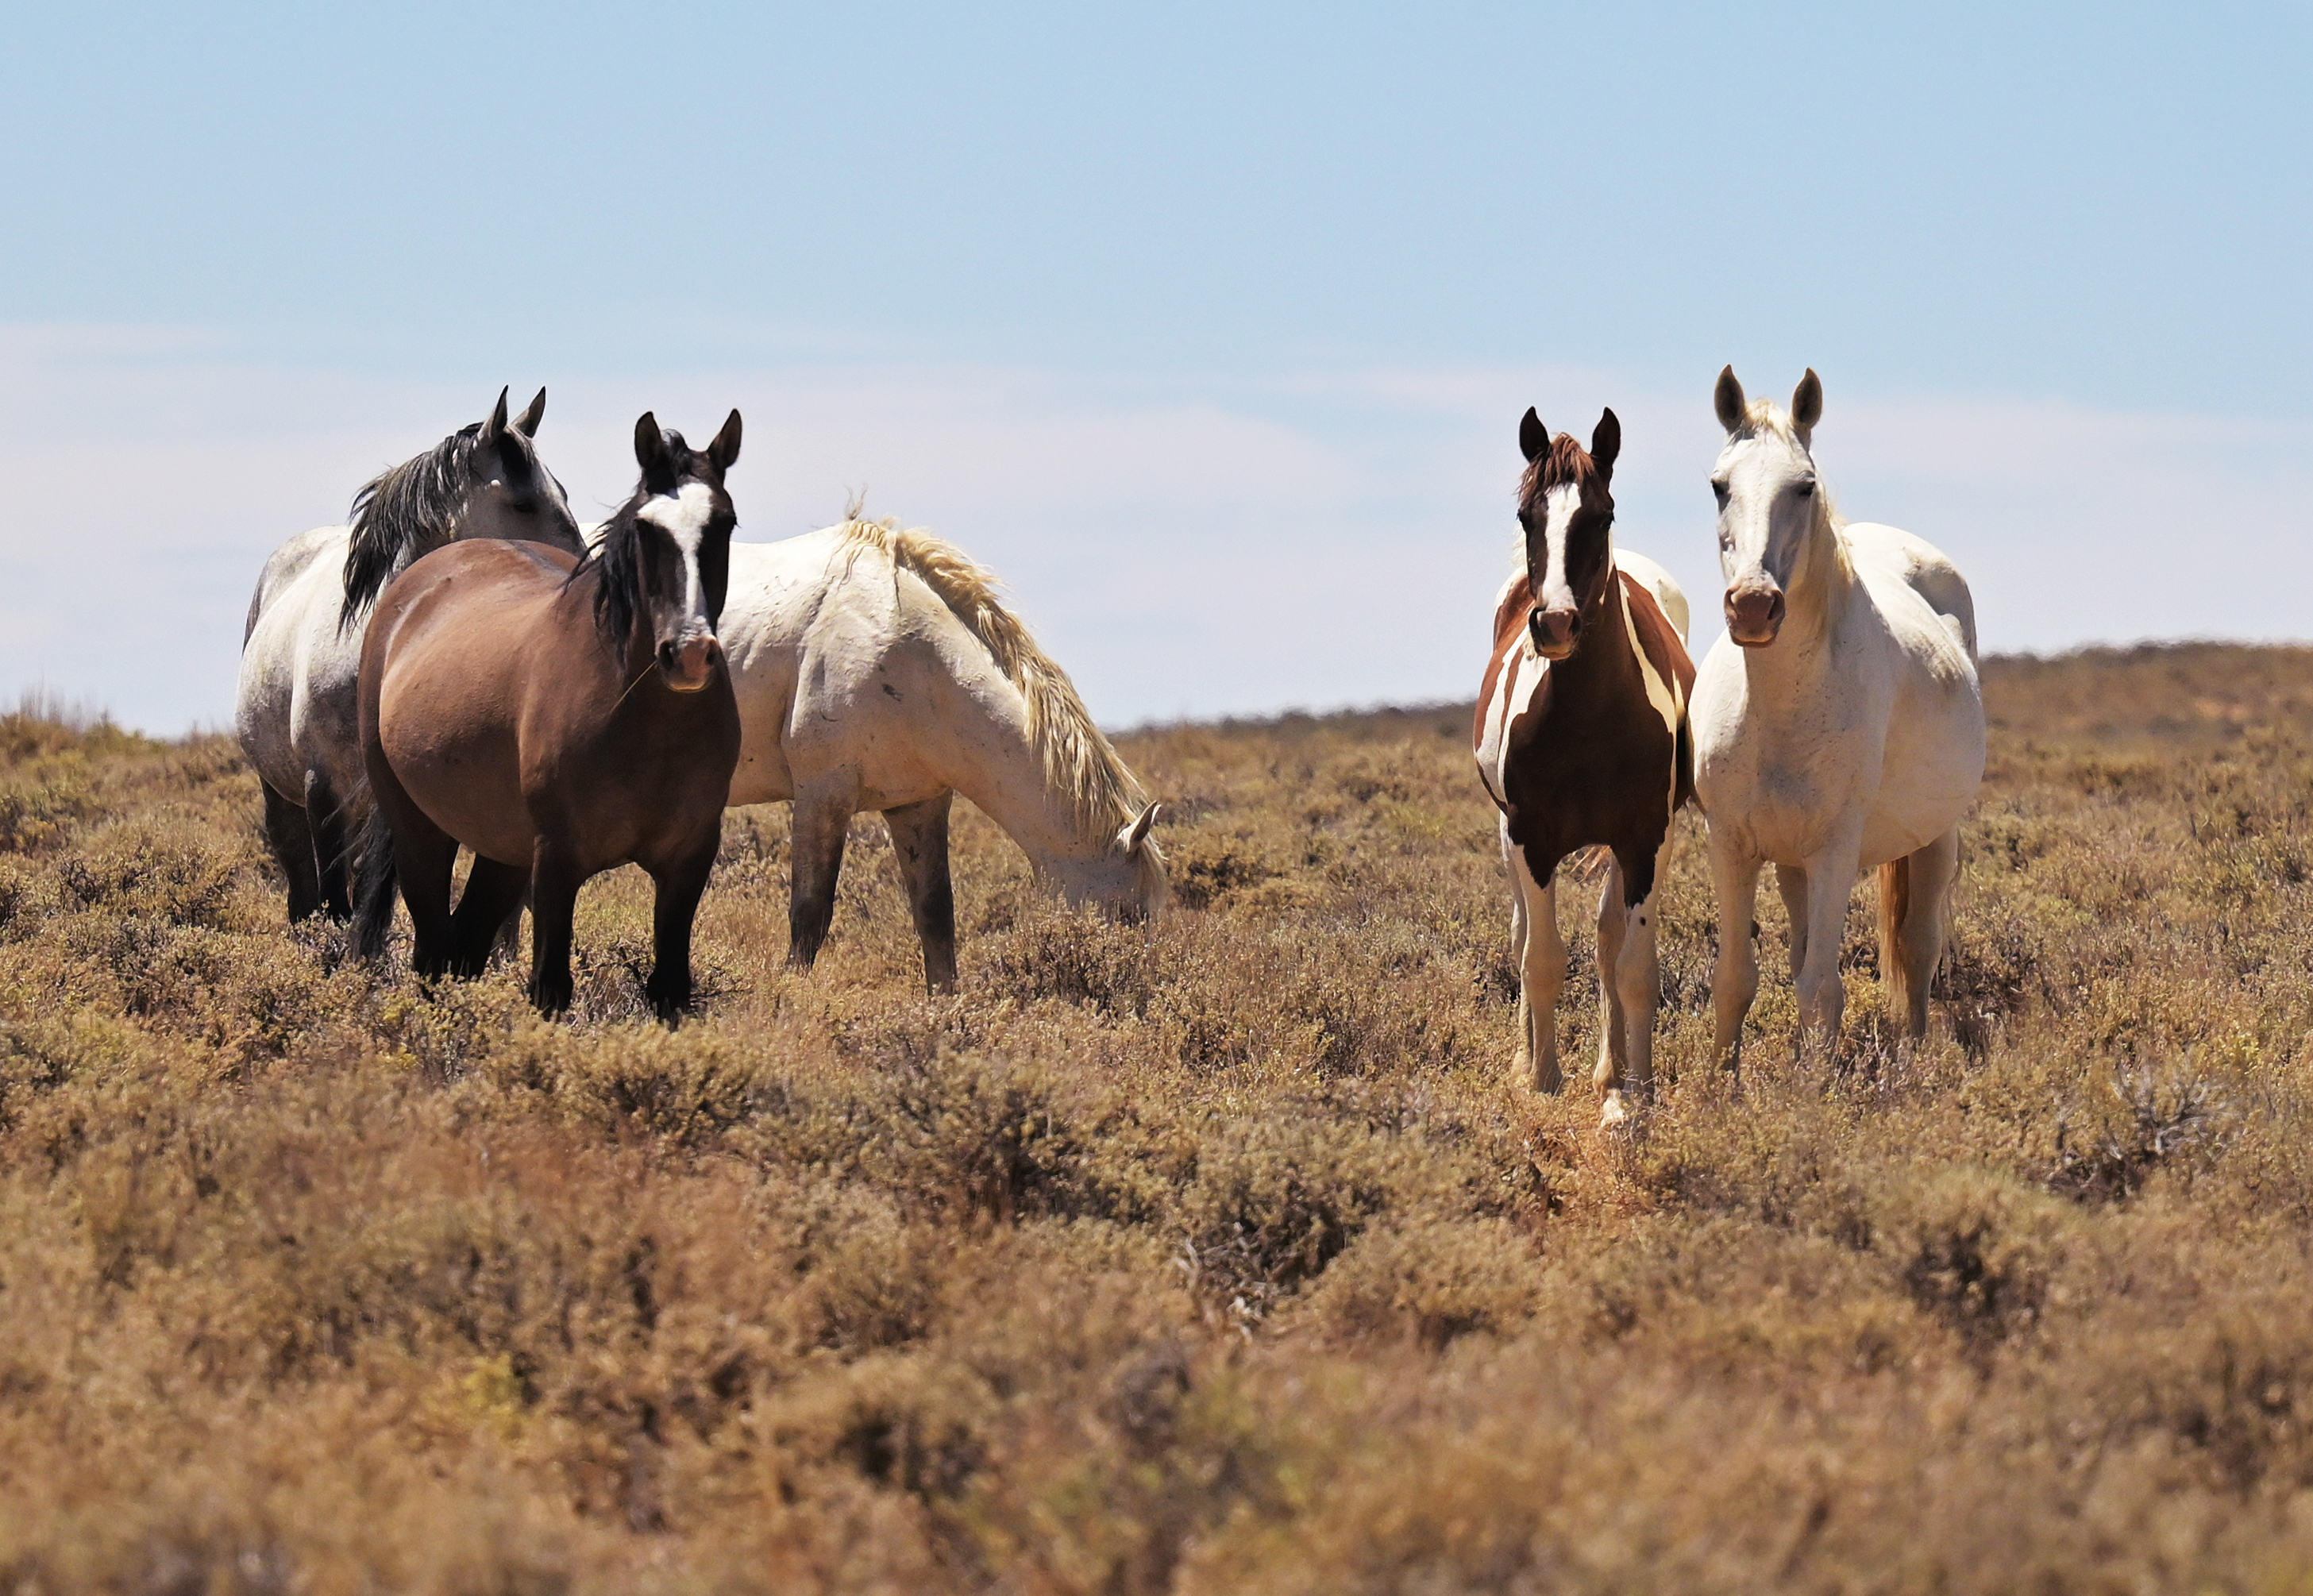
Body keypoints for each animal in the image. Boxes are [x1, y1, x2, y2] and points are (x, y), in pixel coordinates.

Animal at [236, 388, 586, 922]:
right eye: (524, 504)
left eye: (563, 494)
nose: (583, 572)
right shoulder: (322, 788)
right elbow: (332, 899)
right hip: (281, 792)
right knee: (300, 878)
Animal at [353, 411, 745, 1019]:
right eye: (646, 529)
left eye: (724, 523)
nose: (687, 653)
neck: (641, 723)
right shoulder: (558, 862)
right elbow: (550, 987)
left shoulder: (686, 863)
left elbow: (670, 990)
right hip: (420, 831)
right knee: (434, 953)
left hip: (502, 850)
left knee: (464, 947)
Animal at [711, 512, 1166, 992]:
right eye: (1128, 913)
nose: (1128, 983)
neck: (906, 654)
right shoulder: (823, 795)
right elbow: (810, 915)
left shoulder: (919, 804)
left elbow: (935, 916)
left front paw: (945, 1004)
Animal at [1473, 406, 1697, 1125]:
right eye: (1527, 516)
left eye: (1601, 515)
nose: (1555, 624)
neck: (1587, 719)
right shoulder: (1529, 836)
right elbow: (1541, 958)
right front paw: (1542, 1077)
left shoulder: (1646, 839)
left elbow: (1633, 967)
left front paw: (1637, 1091)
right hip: (1508, 838)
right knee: (1522, 935)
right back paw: (1530, 1061)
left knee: (1606, 941)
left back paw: (1610, 1071)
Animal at [1690, 368, 1985, 1065]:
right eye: (1718, 485)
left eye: (1804, 486)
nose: (1752, 605)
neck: (1775, 708)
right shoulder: (1731, 846)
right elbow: (1735, 979)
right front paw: (1720, 1078)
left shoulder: (1832, 851)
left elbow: (1821, 990)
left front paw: (1813, 1084)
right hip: (1791, 863)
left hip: (1933, 837)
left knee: (1917, 946)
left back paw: (1911, 1051)